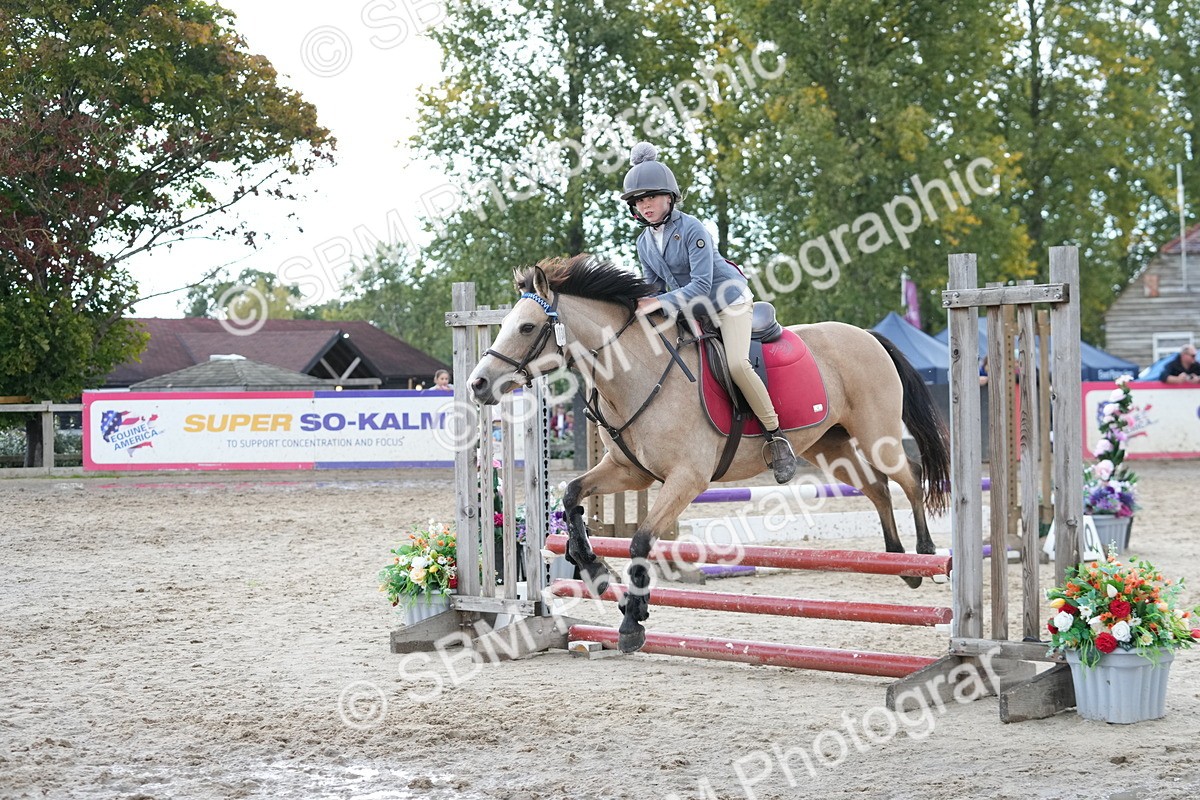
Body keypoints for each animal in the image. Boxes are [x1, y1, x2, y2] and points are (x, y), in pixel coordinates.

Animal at [468, 255, 950, 654]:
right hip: (829, 446)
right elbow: (571, 496)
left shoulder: (687, 478)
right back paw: (900, 561)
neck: (635, 372)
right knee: (878, 487)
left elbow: (641, 540)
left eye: (527, 327)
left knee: (909, 476)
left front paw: (632, 620)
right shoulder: (628, 472)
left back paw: (926, 555)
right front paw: (594, 569)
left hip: (876, 434)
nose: (478, 383)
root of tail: (868, 334)